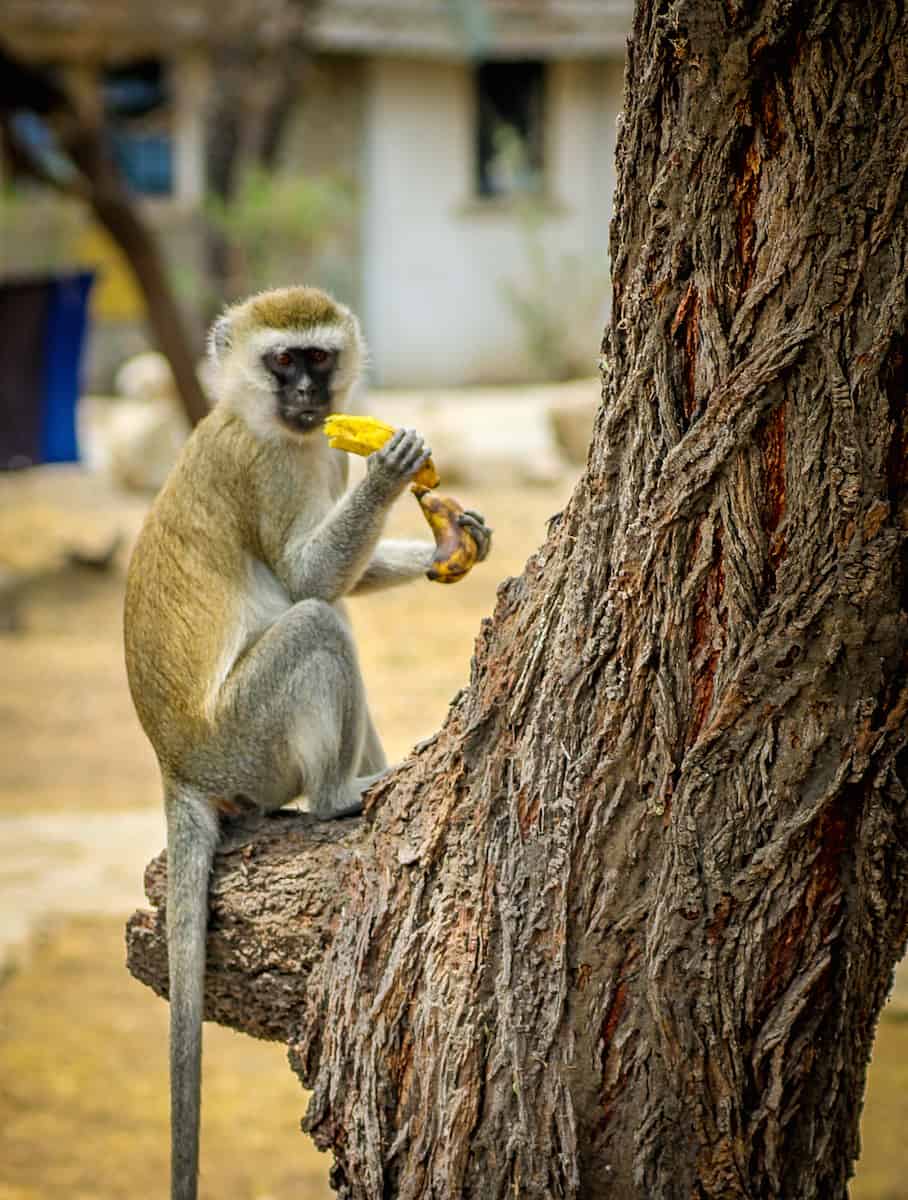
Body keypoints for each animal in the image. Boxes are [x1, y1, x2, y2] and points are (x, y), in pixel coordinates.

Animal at [122, 283, 489, 1200]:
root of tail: (173, 764)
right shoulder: (271, 467)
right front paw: (392, 470)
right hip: (243, 745)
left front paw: (453, 534)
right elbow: (307, 579)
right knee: (318, 624)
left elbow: (340, 579)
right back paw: (337, 799)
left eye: (318, 358)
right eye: (282, 360)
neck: (262, 420)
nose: (307, 396)